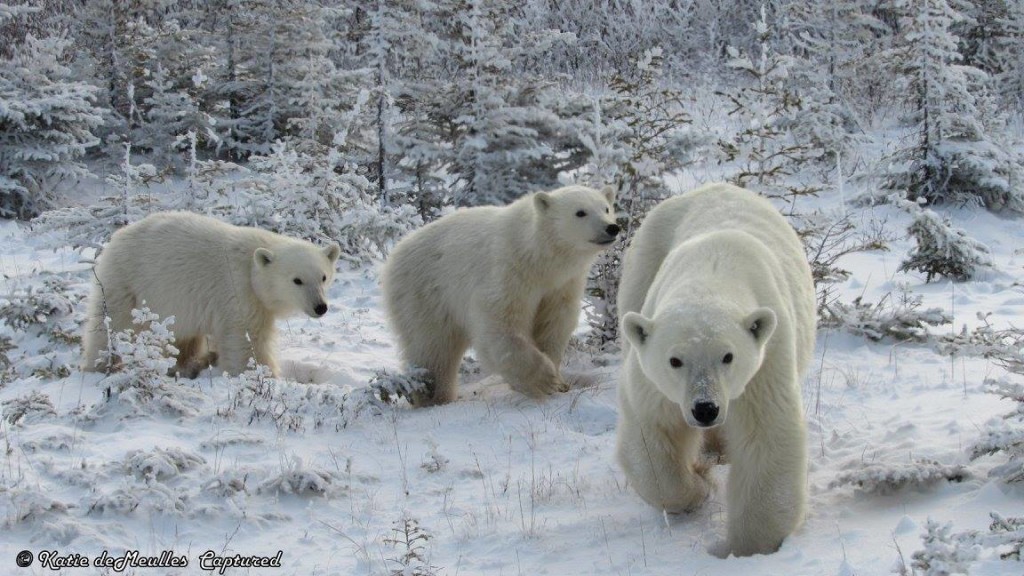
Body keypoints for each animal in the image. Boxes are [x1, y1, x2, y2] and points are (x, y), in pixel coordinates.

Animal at [81, 212, 341, 378]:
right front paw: (262, 374)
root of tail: (116, 237)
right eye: (297, 280)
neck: (252, 267)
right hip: (126, 281)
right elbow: (247, 337)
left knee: (184, 336)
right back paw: (102, 363)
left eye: (323, 277)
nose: (320, 307)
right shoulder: (238, 291)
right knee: (113, 324)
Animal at [381, 184, 620, 405]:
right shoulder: (508, 271)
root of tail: (394, 255)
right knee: (433, 348)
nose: (612, 228)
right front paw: (544, 379)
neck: (537, 256)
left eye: (606, 208)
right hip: (425, 292)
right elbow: (500, 323)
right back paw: (433, 397)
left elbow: (553, 324)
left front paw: (558, 380)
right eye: (580, 212)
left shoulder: (561, 286)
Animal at [615, 182, 815, 557]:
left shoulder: (765, 362)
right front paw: (699, 486)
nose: (705, 409)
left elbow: (766, 433)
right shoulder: (654, 380)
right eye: (675, 360)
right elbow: (653, 427)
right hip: (642, 267)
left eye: (728, 356)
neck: (713, 270)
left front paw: (750, 545)